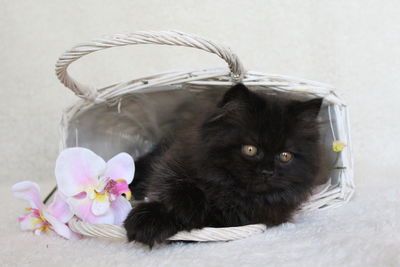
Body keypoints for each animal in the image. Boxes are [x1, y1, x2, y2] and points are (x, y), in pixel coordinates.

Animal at [125, 85, 322, 248]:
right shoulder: (173, 162)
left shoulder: (242, 220)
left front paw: (152, 224)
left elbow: (202, 221)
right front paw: (150, 219)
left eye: (285, 156)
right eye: (250, 149)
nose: (268, 172)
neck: (227, 188)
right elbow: (173, 188)